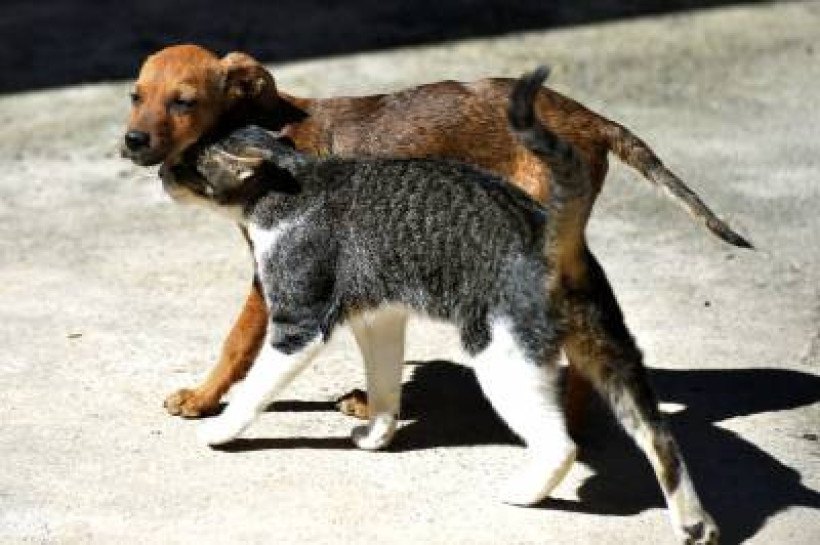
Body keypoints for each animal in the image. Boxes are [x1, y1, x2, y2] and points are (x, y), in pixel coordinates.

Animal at [123, 43, 748, 438]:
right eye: (135, 95)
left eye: (184, 101)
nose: (132, 141)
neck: (261, 128)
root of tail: (588, 117)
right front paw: (372, 401)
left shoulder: (275, 271)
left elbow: (237, 342)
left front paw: (203, 399)